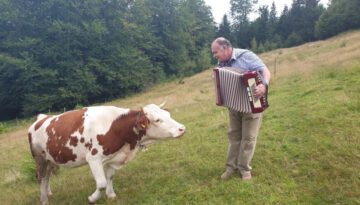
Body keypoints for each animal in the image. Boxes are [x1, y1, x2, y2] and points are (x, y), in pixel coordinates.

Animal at [28, 103, 186, 204]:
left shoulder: (116, 157)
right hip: (40, 158)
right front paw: (92, 198)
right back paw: (44, 200)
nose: (182, 128)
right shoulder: (93, 158)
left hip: (51, 160)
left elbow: (110, 177)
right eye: (157, 120)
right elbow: (102, 183)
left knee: (47, 176)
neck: (117, 128)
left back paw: (48, 193)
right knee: (41, 177)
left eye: (168, 114)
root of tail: (41, 118)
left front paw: (111, 195)